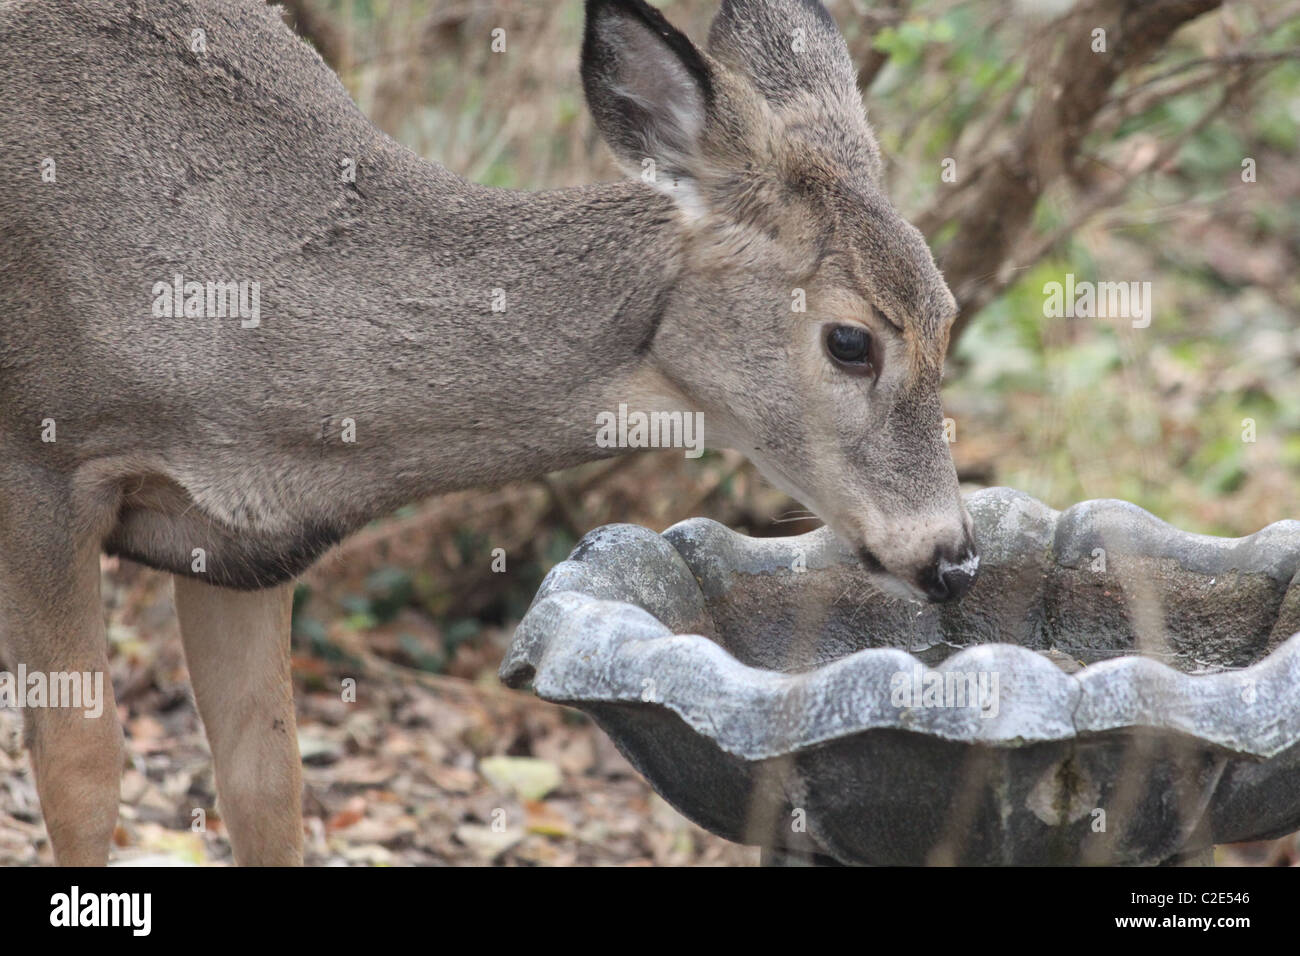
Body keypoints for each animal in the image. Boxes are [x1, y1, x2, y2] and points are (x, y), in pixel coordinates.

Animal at [0, 0, 977, 868]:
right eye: (850, 341)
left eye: (948, 317)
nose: (955, 555)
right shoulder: (38, 466)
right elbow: (83, 768)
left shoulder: (243, 544)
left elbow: (266, 781)